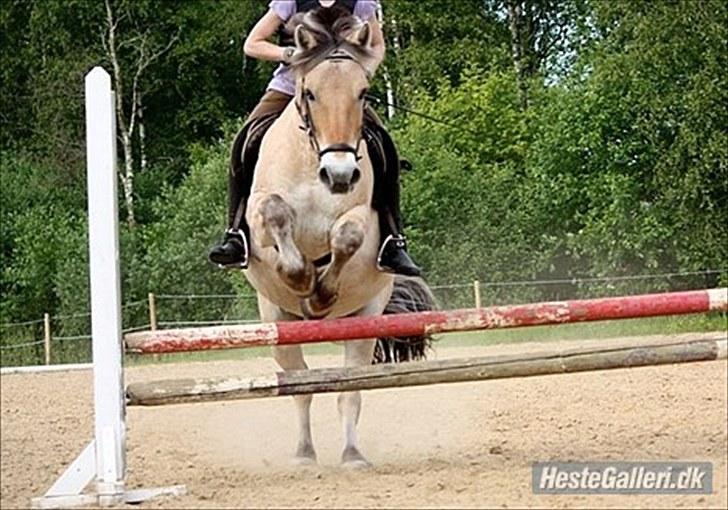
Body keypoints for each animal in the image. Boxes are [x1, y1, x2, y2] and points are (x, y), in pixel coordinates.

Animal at [240, 9, 432, 468]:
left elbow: (348, 235)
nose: (340, 175)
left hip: (364, 319)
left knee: (349, 391)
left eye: (362, 93)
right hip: (278, 323)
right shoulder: (258, 213)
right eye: (309, 93)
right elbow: (276, 214)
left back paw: (352, 455)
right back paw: (304, 455)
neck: (313, 163)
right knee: (300, 387)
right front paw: (300, 278)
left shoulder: (364, 219)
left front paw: (321, 292)